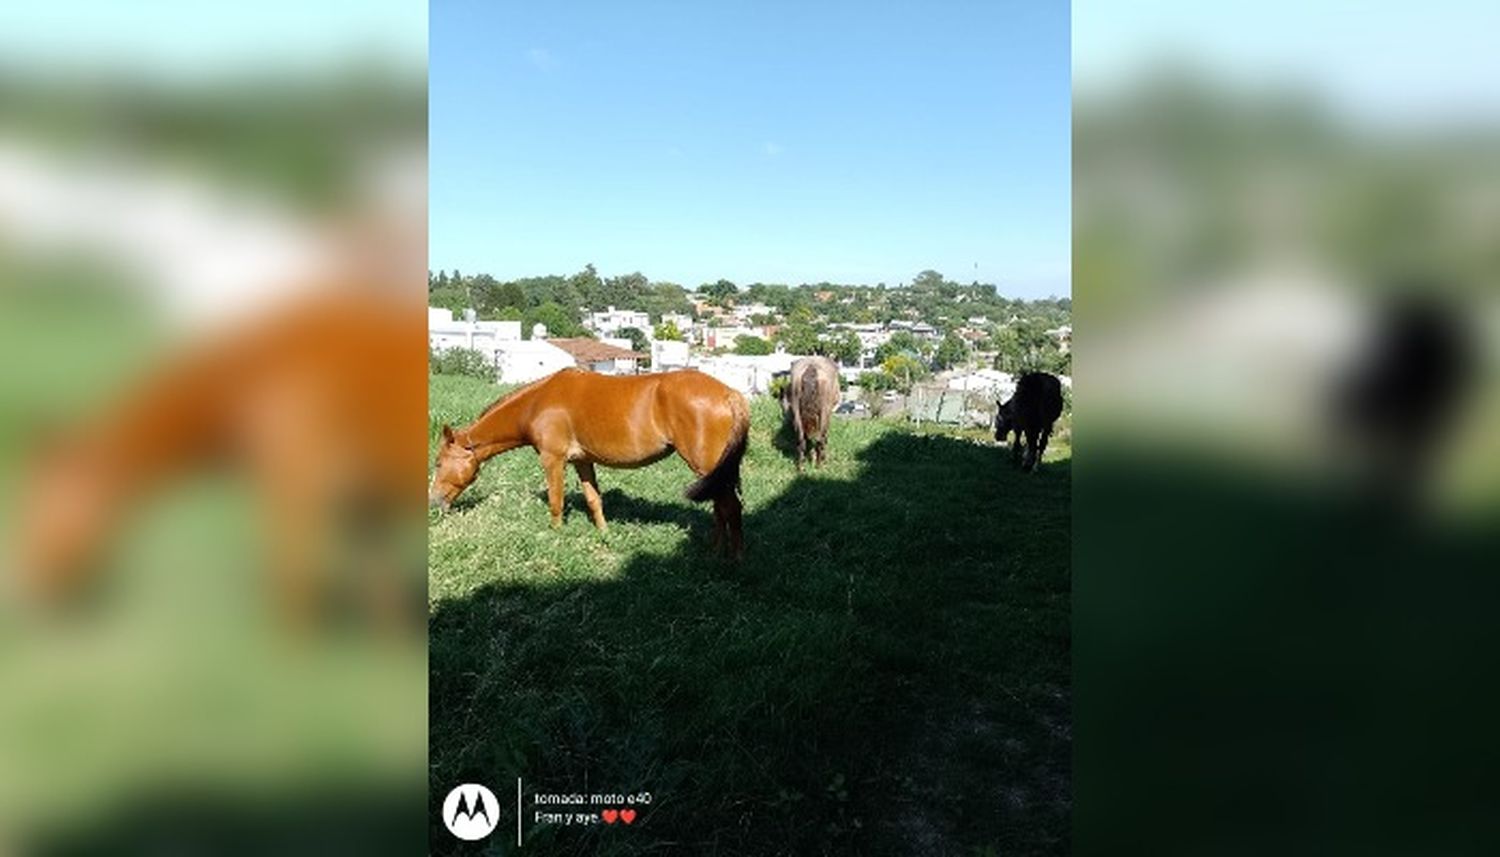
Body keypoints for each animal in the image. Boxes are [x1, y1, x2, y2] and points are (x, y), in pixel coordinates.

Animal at [429, 368, 751, 558]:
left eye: (438, 463)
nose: (434, 502)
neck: (537, 403)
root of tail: (729, 393)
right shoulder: (582, 462)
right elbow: (594, 499)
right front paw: (605, 534)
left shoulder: (553, 460)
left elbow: (556, 501)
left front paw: (556, 536)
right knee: (721, 507)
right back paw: (715, 550)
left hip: (706, 466)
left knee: (730, 507)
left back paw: (734, 559)